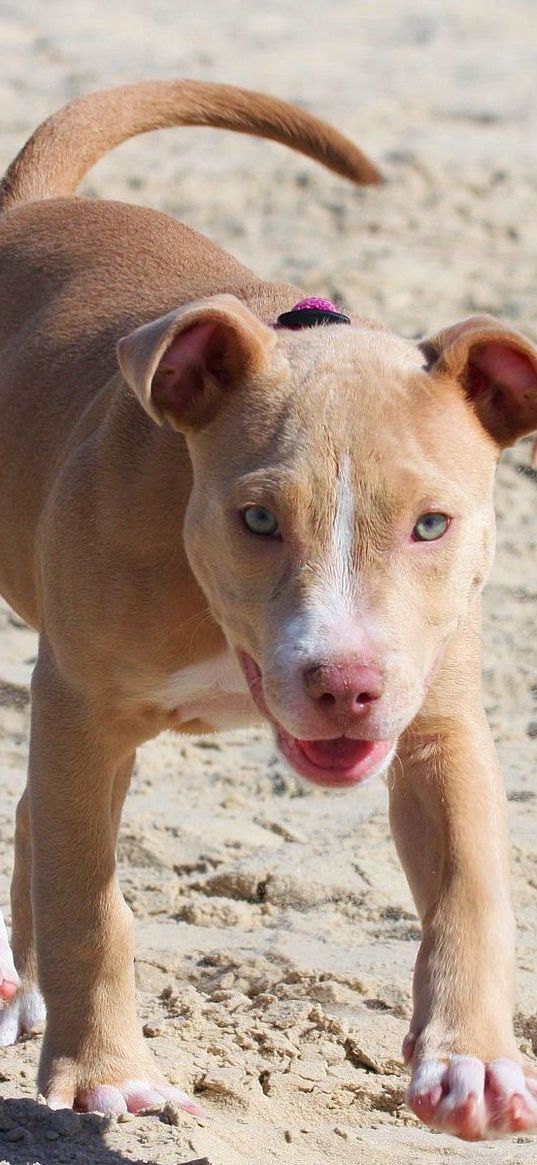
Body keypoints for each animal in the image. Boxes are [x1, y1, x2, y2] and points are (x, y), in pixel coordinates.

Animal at [1, 84, 535, 1146]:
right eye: (256, 518)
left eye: (431, 523)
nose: (346, 684)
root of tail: (33, 208)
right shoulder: (83, 708)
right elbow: (92, 905)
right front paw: (108, 1078)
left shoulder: (438, 722)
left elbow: (472, 887)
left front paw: (471, 1060)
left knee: (34, 804)